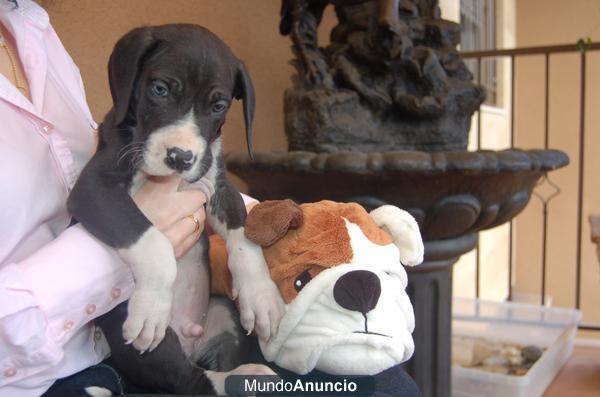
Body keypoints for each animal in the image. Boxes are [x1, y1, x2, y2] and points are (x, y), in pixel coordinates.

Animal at [69, 24, 284, 392]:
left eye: (218, 105)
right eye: (159, 89)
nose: (181, 158)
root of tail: (188, 342)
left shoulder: (219, 185)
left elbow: (245, 237)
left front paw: (262, 297)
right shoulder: (93, 188)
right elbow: (152, 241)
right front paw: (151, 306)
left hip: (223, 312)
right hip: (145, 347)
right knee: (190, 382)